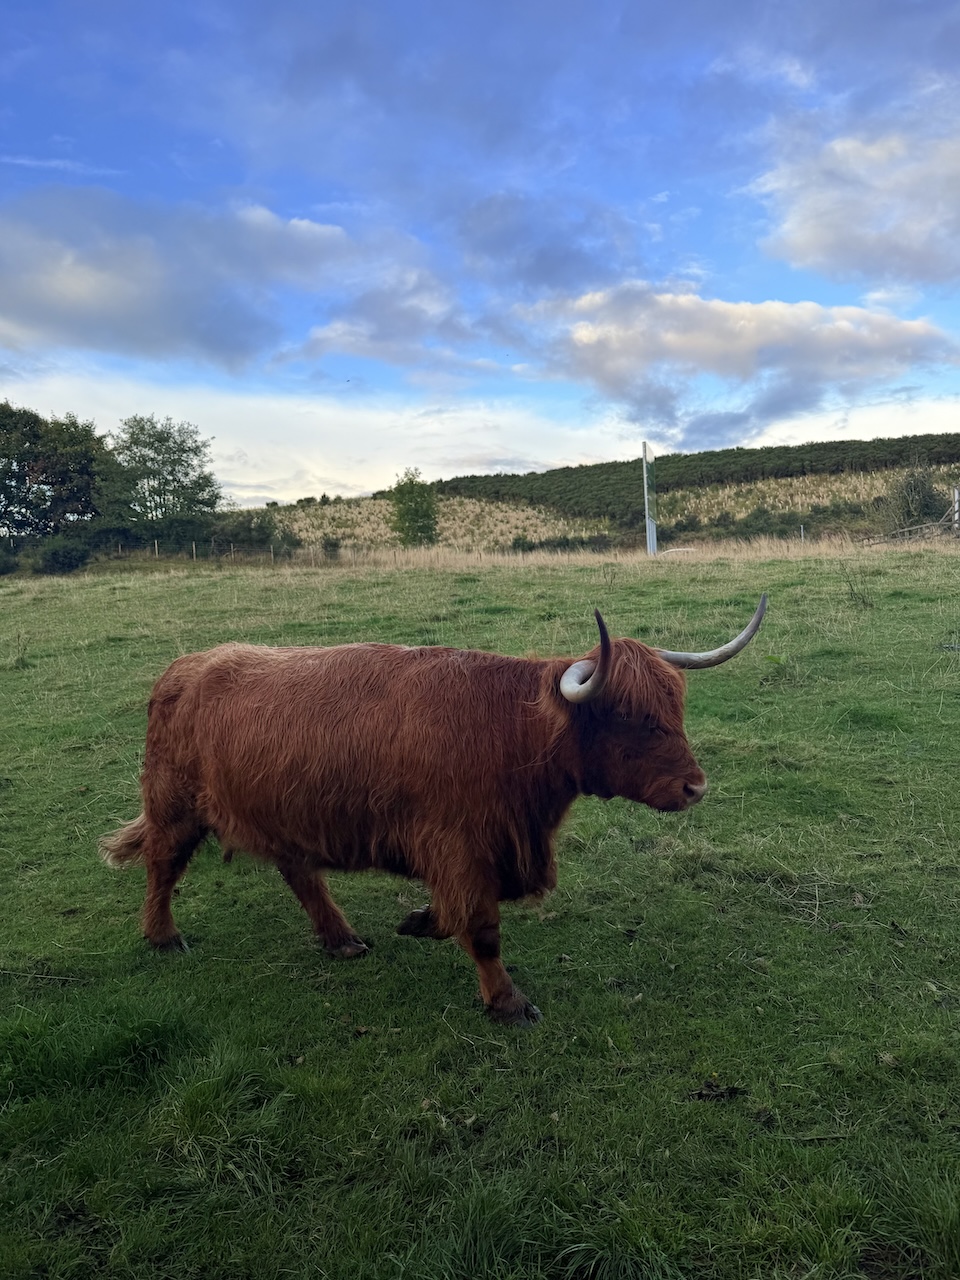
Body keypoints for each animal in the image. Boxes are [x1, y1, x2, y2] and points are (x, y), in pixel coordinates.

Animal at [100, 596, 766, 1026]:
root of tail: (183, 667)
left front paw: (420, 921)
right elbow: (480, 926)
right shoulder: (459, 844)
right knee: (163, 865)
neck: (510, 731)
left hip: (283, 810)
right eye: (630, 716)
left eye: (675, 708)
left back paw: (340, 939)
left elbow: (462, 914)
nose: (695, 787)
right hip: (175, 804)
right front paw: (506, 1001)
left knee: (299, 872)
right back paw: (163, 936)